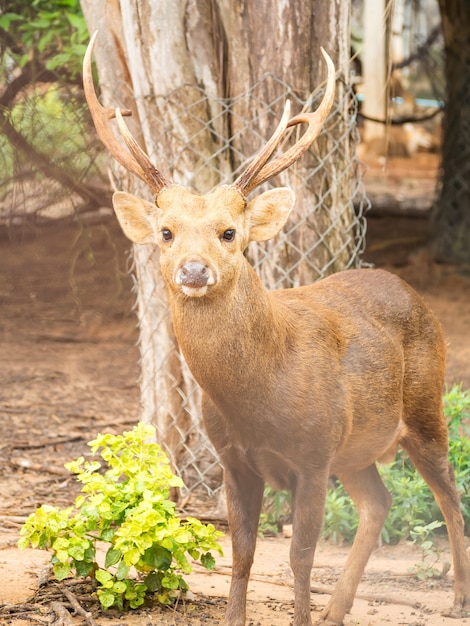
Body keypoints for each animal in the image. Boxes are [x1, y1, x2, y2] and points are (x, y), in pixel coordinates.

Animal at [84, 34, 470, 624]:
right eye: (166, 232)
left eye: (229, 232)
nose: (193, 271)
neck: (258, 397)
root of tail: (409, 290)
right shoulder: (235, 462)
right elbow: (242, 554)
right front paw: (239, 617)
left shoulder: (313, 454)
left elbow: (300, 556)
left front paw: (302, 615)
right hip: (357, 450)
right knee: (378, 502)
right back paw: (339, 609)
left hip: (426, 404)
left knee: (449, 493)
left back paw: (456, 597)